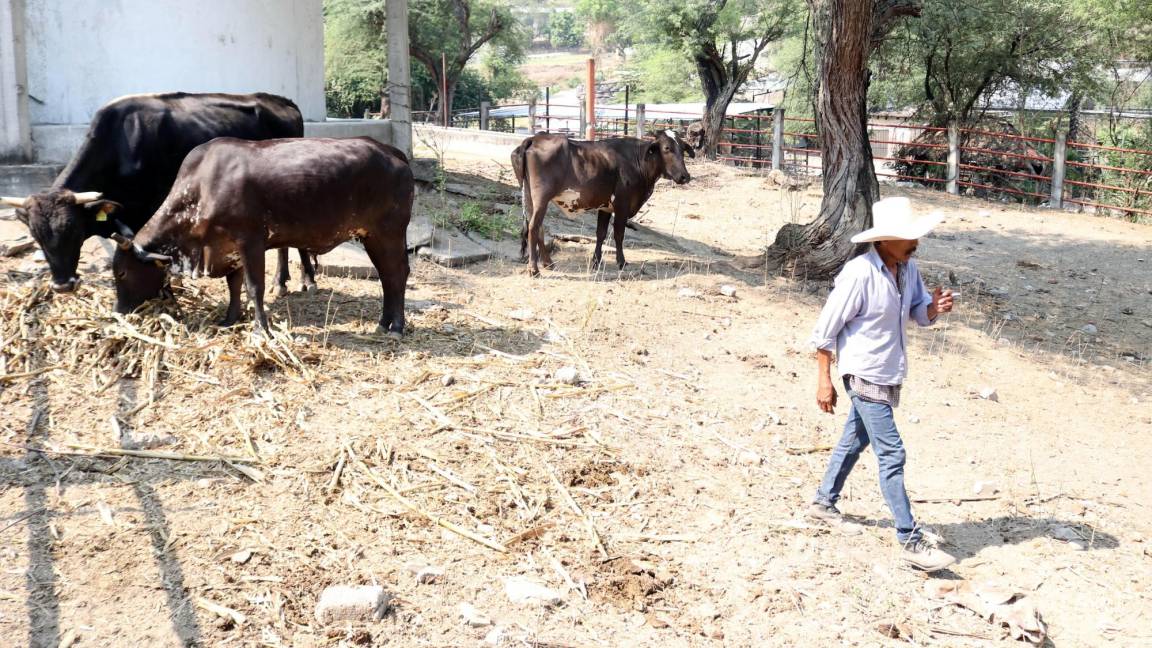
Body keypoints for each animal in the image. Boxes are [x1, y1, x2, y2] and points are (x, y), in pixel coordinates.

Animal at [0, 89, 315, 290]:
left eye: (74, 230)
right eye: (36, 236)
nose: (63, 286)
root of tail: (280, 100)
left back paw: (303, 280)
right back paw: (283, 281)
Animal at [108, 137, 414, 338]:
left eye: (122, 273)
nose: (118, 312)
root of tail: (392, 151)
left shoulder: (250, 241)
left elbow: (254, 287)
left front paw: (260, 330)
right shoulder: (228, 248)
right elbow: (234, 286)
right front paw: (230, 319)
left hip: (389, 233)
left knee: (397, 274)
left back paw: (396, 327)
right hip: (371, 236)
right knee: (386, 277)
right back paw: (383, 323)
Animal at [513, 129, 691, 273]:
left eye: (683, 149)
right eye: (667, 148)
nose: (685, 176)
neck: (637, 160)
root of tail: (534, 138)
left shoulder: (605, 207)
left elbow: (601, 234)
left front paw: (596, 261)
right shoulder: (622, 204)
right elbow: (619, 234)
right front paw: (621, 262)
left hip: (529, 197)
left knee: (538, 229)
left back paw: (548, 263)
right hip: (541, 198)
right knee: (533, 228)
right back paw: (534, 269)